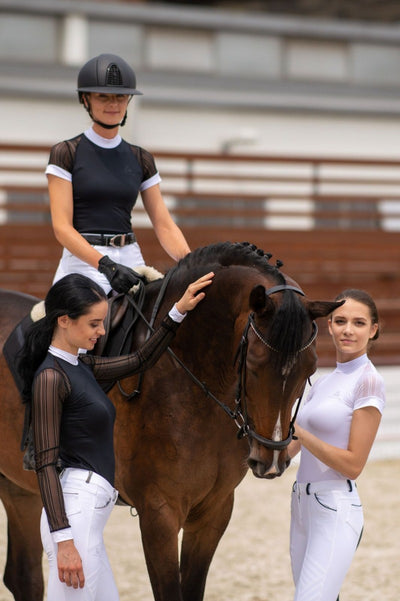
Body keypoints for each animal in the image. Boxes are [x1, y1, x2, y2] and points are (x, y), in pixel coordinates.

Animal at [0, 241, 340, 596]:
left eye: (310, 368)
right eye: (255, 363)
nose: (271, 460)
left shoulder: (214, 510)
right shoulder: (158, 513)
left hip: (21, 489)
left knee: (23, 575)